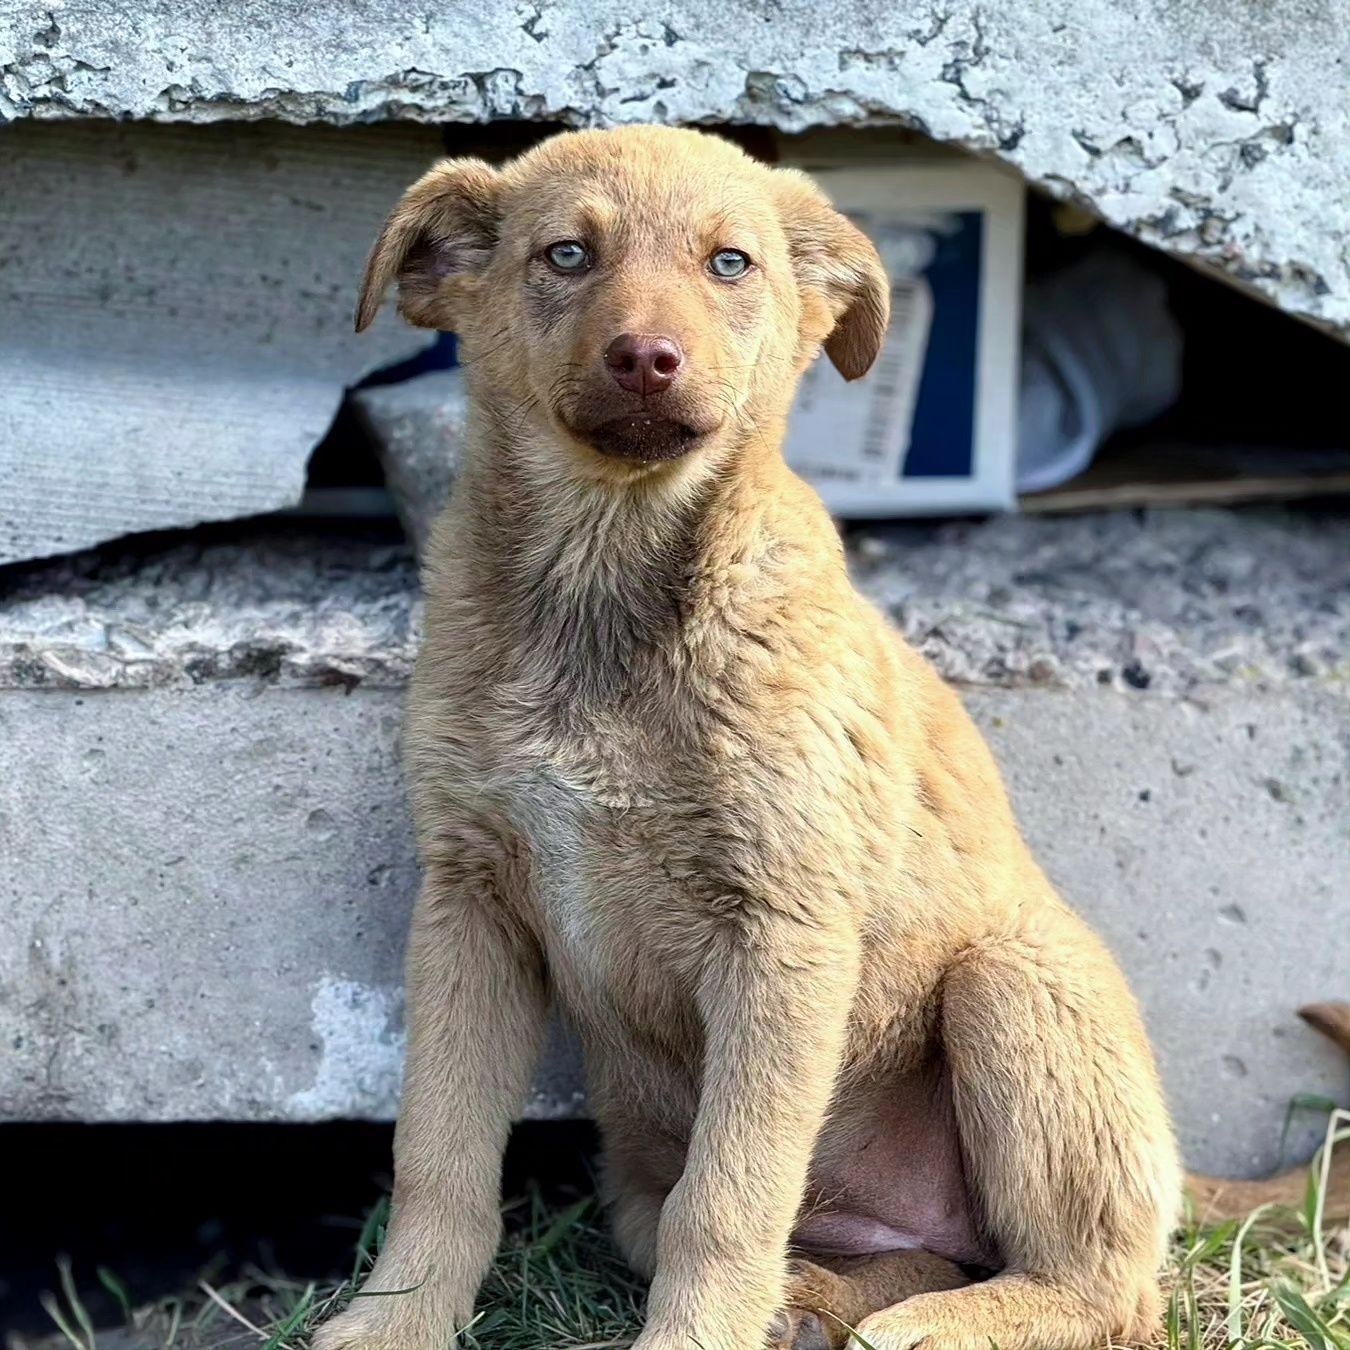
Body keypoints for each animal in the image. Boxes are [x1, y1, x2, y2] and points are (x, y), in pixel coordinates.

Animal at [315, 126, 1182, 1350]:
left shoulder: (783, 932)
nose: (647, 358)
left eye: (731, 264)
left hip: (1013, 987)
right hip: (657, 1168)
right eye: (565, 254)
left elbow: (728, 1195)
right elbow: (438, 1152)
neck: (606, 598)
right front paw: (397, 1318)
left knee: (1106, 1288)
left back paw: (929, 1325)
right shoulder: (469, 905)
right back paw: (817, 1306)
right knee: (875, 1249)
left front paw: (691, 1340)